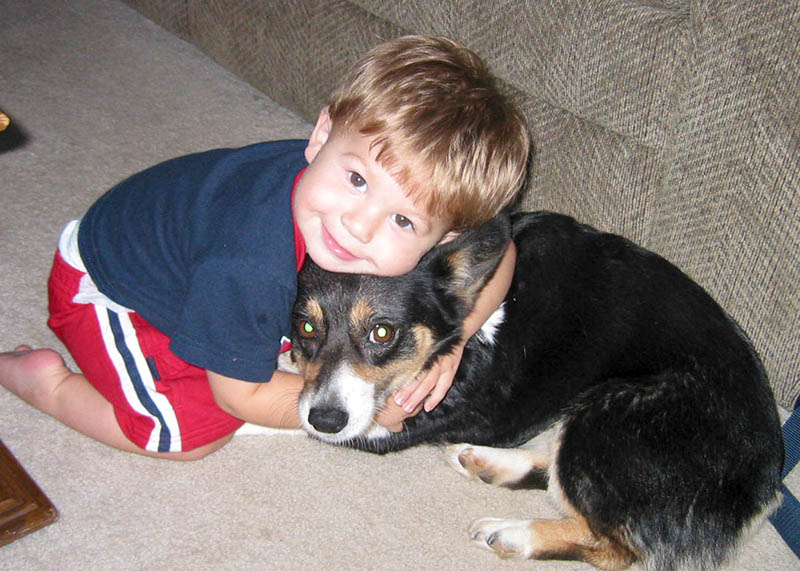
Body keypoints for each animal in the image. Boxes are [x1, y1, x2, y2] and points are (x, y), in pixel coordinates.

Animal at [290, 211, 783, 570]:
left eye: (383, 333)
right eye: (307, 327)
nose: (325, 420)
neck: (468, 328)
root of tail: (765, 487)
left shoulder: (388, 423)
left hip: (611, 413)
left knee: (616, 545)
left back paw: (514, 534)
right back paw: (487, 463)